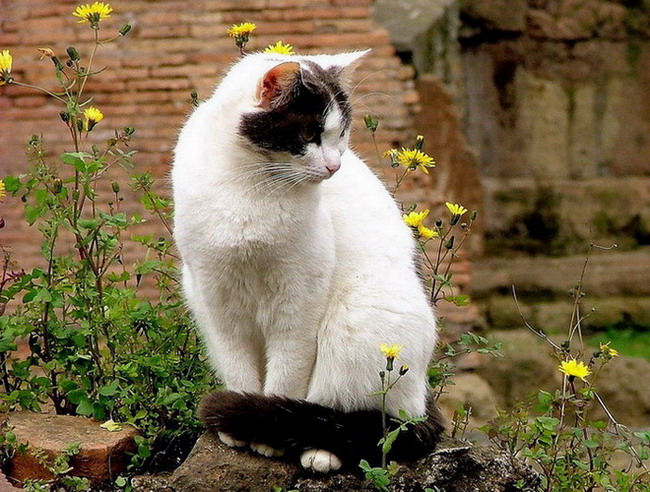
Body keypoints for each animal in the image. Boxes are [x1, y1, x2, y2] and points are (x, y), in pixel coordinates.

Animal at [170, 50, 442, 472]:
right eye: (307, 136)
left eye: (340, 134)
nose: (335, 166)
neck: (251, 186)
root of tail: (424, 396)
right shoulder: (217, 298)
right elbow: (238, 367)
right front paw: (240, 427)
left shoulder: (298, 300)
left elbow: (287, 374)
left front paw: (263, 434)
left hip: (357, 325)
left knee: (361, 417)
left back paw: (317, 450)